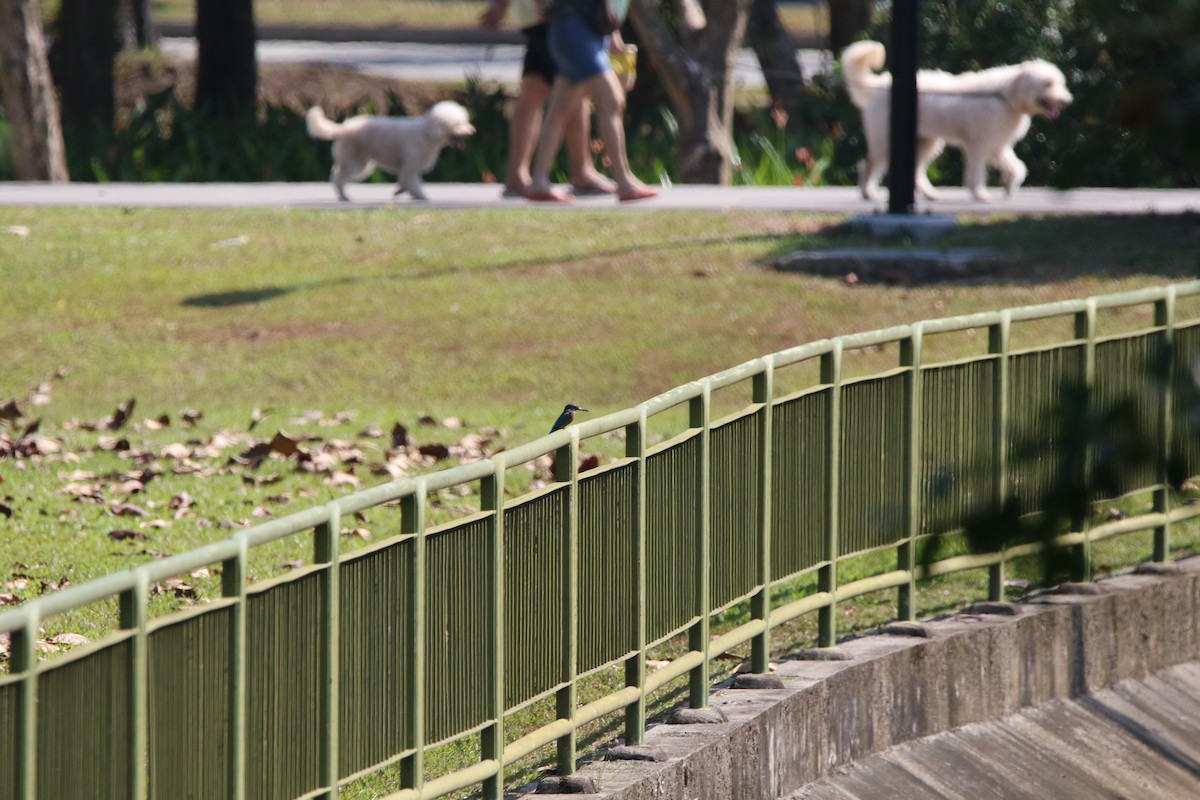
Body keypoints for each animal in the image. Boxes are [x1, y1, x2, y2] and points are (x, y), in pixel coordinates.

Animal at [307, 100, 475, 203]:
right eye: (457, 124)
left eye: (465, 121)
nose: (471, 131)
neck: (427, 133)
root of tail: (342, 128)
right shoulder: (411, 165)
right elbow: (411, 183)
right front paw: (420, 196)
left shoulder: (410, 168)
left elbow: (407, 183)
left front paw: (400, 192)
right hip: (356, 163)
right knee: (338, 179)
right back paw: (344, 196)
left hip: (356, 162)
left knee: (336, 175)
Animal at [840, 40, 1075, 203]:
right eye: (1047, 84)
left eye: (1059, 83)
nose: (1066, 100)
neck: (1006, 95)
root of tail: (880, 84)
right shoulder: (979, 146)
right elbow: (977, 172)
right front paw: (980, 194)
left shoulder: (997, 146)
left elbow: (1016, 166)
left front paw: (1009, 187)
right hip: (886, 140)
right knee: (869, 165)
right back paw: (868, 192)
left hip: (926, 142)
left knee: (915, 171)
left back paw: (930, 194)